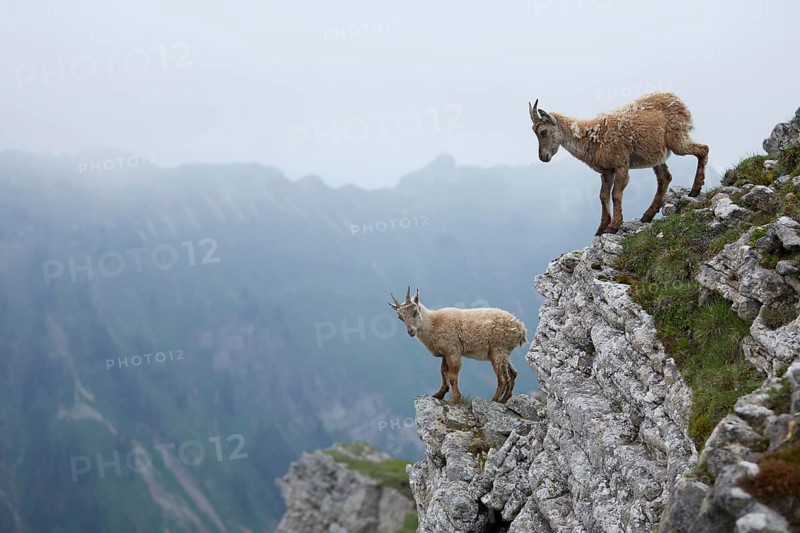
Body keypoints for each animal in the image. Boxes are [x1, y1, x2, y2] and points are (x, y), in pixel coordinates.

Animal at [389, 287, 527, 404]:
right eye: (400, 317)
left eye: (414, 311)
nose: (410, 331)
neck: (433, 324)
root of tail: (520, 327)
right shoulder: (445, 354)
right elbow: (443, 371)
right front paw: (439, 394)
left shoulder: (453, 352)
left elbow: (452, 377)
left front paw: (455, 399)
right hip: (503, 353)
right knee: (512, 374)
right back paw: (504, 399)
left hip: (498, 352)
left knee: (502, 379)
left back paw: (493, 400)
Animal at [528, 92, 708, 235]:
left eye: (543, 132)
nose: (543, 156)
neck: (592, 137)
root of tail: (677, 100)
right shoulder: (606, 171)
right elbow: (603, 196)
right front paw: (601, 228)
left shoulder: (621, 164)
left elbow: (615, 194)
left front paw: (613, 226)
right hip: (655, 155)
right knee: (665, 178)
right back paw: (648, 215)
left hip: (676, 140)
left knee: (703, 149)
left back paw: (695, 189)